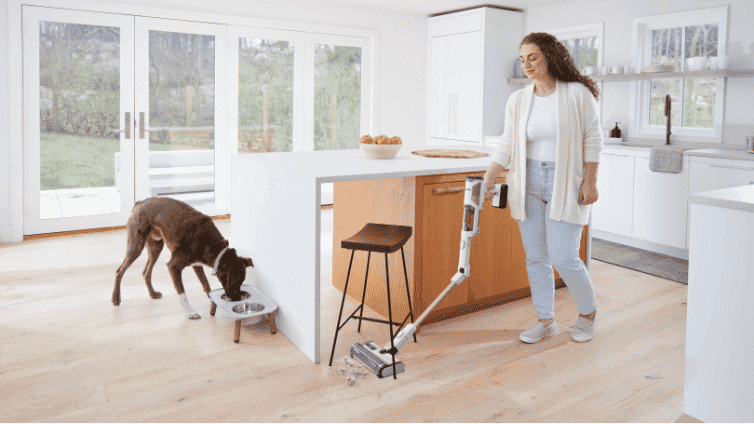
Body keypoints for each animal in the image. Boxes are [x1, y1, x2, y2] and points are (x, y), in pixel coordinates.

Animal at [111, 197, 253, 320]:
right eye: (235, 280)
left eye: (242, 282)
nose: (237, 299)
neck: (213, 245)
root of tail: (140, 202)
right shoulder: (173, 266)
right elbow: (182, 293)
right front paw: (190, 312)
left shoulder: (196, 264)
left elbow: (206, 284)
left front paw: (211, 299)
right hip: (136, 247)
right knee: (119, 271)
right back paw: (116, 298)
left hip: (155, 247)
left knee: (146, 272)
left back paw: (152, 294)